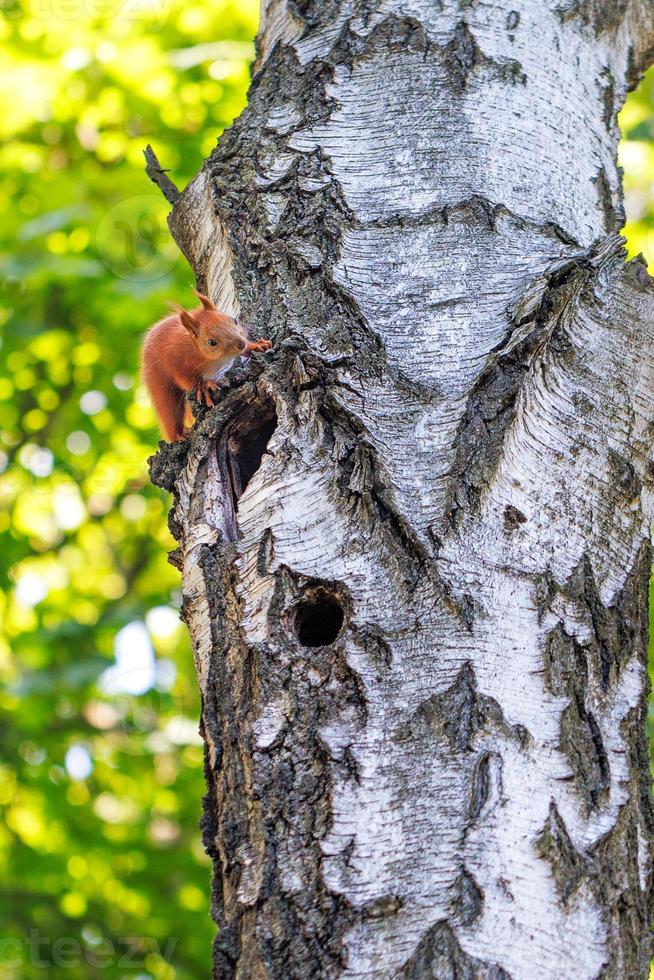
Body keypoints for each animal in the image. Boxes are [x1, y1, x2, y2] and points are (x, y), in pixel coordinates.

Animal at [142, 290, 272, 440]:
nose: (241, 343)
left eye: (234, 320)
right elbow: (186, 380)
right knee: (169, 413)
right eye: (211, 342)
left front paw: (256, 346)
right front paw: (202, 387)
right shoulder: (173, 359)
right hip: (160, 386)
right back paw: (179, 434)